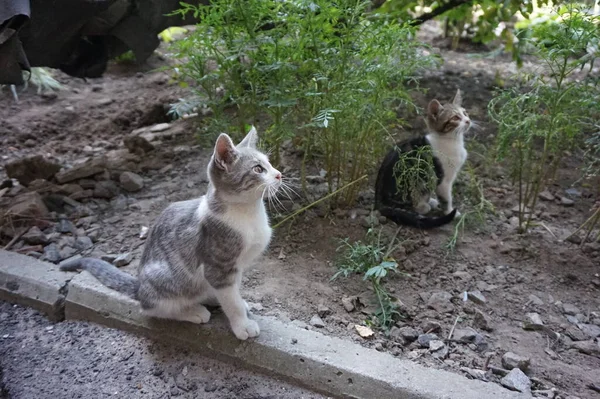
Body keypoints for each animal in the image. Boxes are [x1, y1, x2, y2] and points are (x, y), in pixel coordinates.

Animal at [62, 128, 282, 340]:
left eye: (269, 164)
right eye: (258, 169)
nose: (279, 174)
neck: (249, 214)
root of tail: (139, 287)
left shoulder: (236, 267)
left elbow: (233, 291)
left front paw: (239, 303)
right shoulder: (219, 265)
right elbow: (231, 300)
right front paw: (242, 325)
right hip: (164, 277)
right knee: (152, 308)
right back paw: (192, 311)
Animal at [376, 89, 468, 230]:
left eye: (465, 113)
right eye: (455, 118)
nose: (468, 121)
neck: (452, 141)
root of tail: (378, 201)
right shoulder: (443, 179)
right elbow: (446, 198)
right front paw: (450, 211)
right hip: (416, 179)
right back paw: (424, 206)